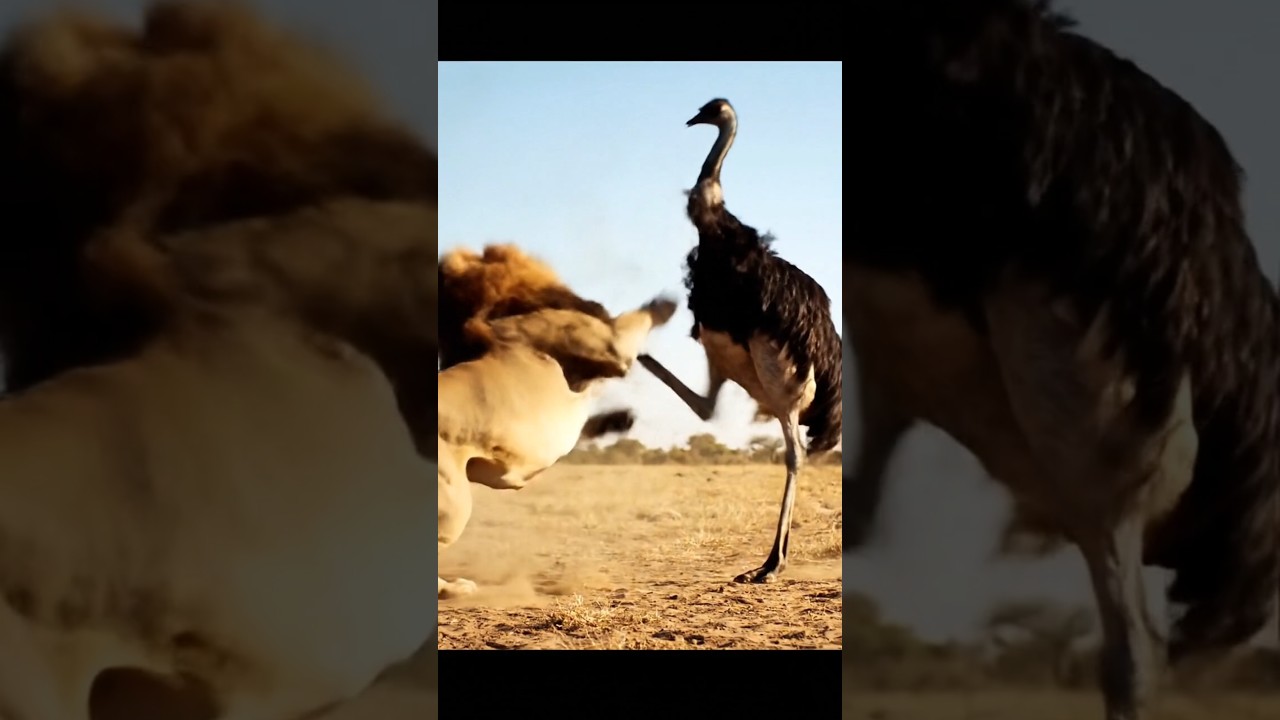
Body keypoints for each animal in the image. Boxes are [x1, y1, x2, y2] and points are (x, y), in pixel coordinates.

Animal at [436, 243, 676, 597]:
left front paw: (620, 419)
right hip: (453, 504)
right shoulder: (612, 347)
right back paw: (457, 589)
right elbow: (641, 316)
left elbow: (588, 423)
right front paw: (669, 301)